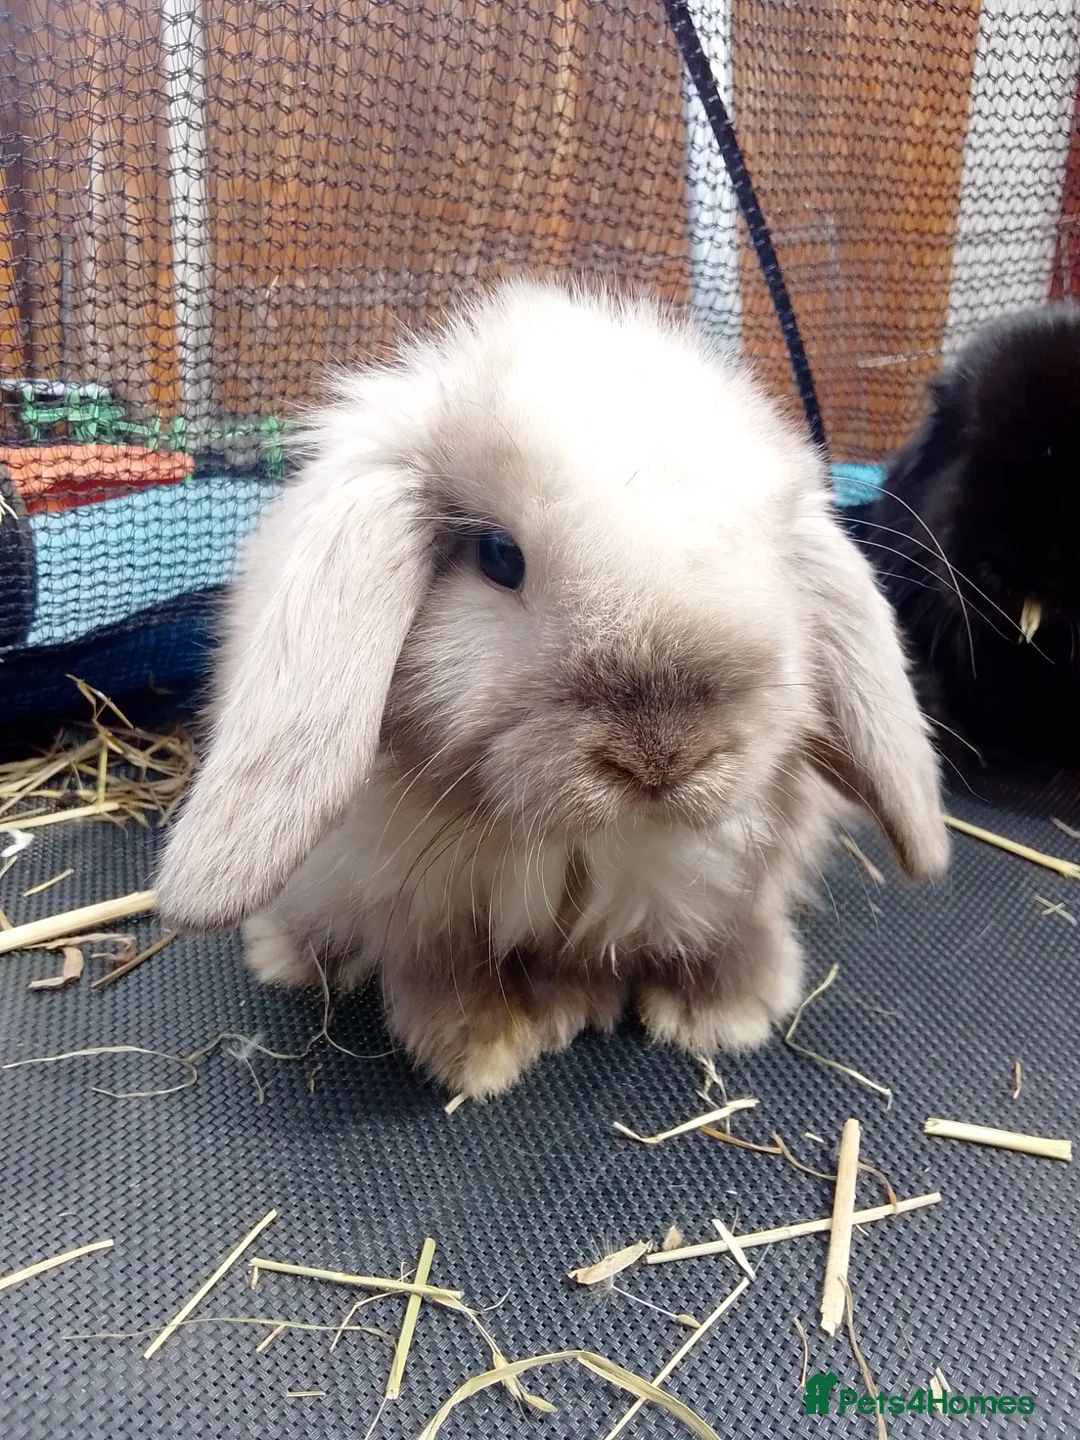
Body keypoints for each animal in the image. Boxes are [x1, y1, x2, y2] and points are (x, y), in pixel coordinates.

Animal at [156, 279, 948, 1099]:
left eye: (774, 560)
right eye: (500, 557)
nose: (661, 761)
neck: (598, 844)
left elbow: (722, 935)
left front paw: (729, 1013)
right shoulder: (425, 907)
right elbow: (449, 971)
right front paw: (483, 1049)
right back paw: (292, 958)